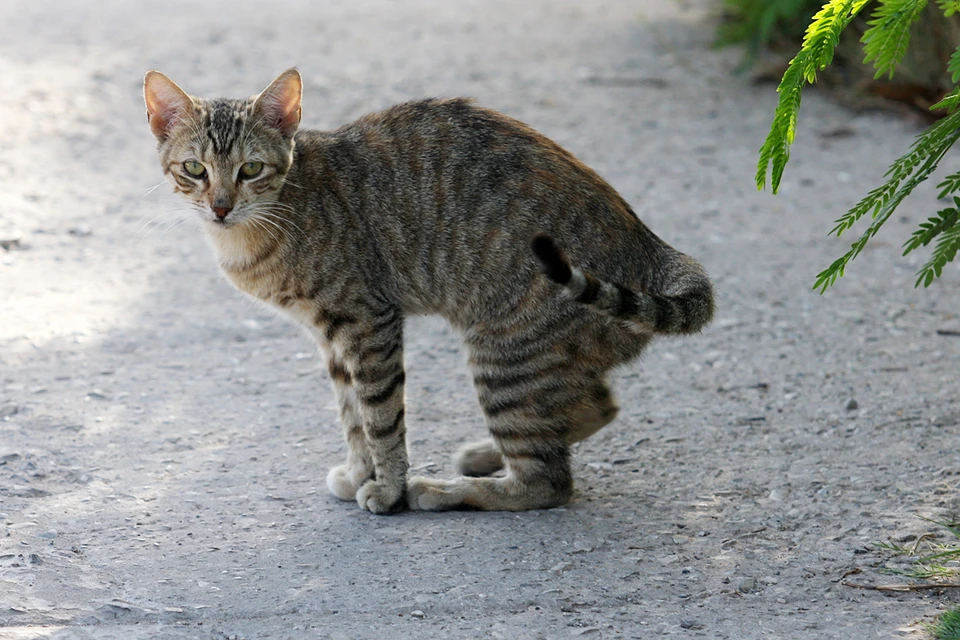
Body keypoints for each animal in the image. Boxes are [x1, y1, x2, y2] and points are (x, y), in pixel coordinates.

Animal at [142, 66, 712, 516]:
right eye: (194, 168)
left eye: (251, 168)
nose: (220, 206)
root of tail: (652, 250)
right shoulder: (331, 335)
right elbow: (351, 415)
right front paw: (360, 471)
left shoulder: (366, 322)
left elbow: (379, 416)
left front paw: (387, 487)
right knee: (597, 407)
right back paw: (486, 456)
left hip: (503, 354)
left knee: (547, 484)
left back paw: (444, 489)